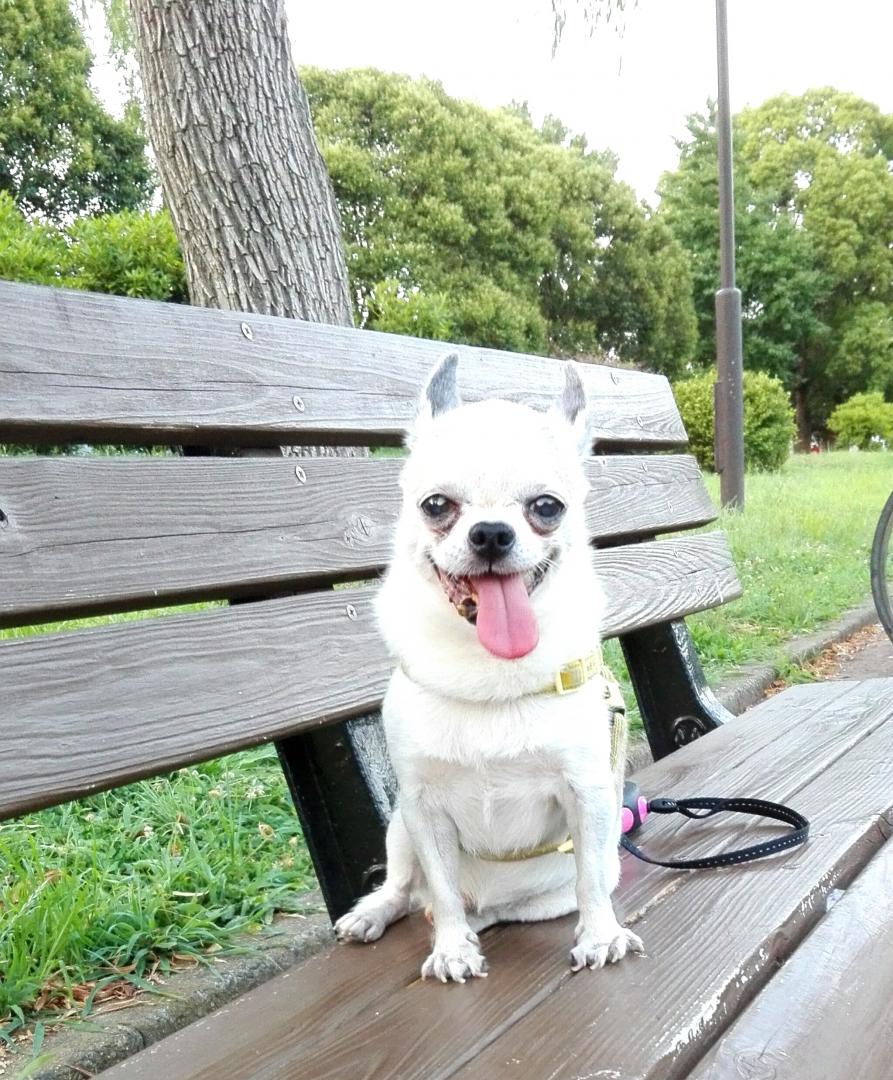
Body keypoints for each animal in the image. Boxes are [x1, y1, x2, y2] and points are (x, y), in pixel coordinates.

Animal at [334, 358, 643, 984]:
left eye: (546, 507)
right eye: (436, 506)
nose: (493, 532)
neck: (489, 671)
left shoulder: (589, 794)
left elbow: (592, 881)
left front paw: (601, 934)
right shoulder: (422, 805)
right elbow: (443, 886)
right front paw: (452, 948)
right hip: (400, 827)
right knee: (411, 890)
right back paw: (380, 914)